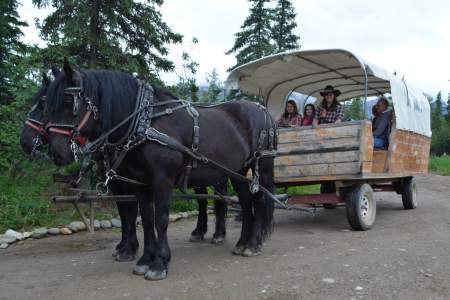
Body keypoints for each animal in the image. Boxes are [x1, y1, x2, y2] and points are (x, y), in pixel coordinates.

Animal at [46, 59, 278, 280]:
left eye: (68, 102)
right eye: (48, 103)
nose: (56, 152)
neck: (145, 123)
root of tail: (262, 110)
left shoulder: (162, 180)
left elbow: (161, 219)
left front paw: (159, 263)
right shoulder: (139, 183)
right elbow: (147, 219)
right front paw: (145, 259)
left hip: (261, 167)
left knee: (259, 200)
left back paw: (252, 244)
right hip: (237, 172)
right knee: (246, 202)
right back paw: (242, 242)